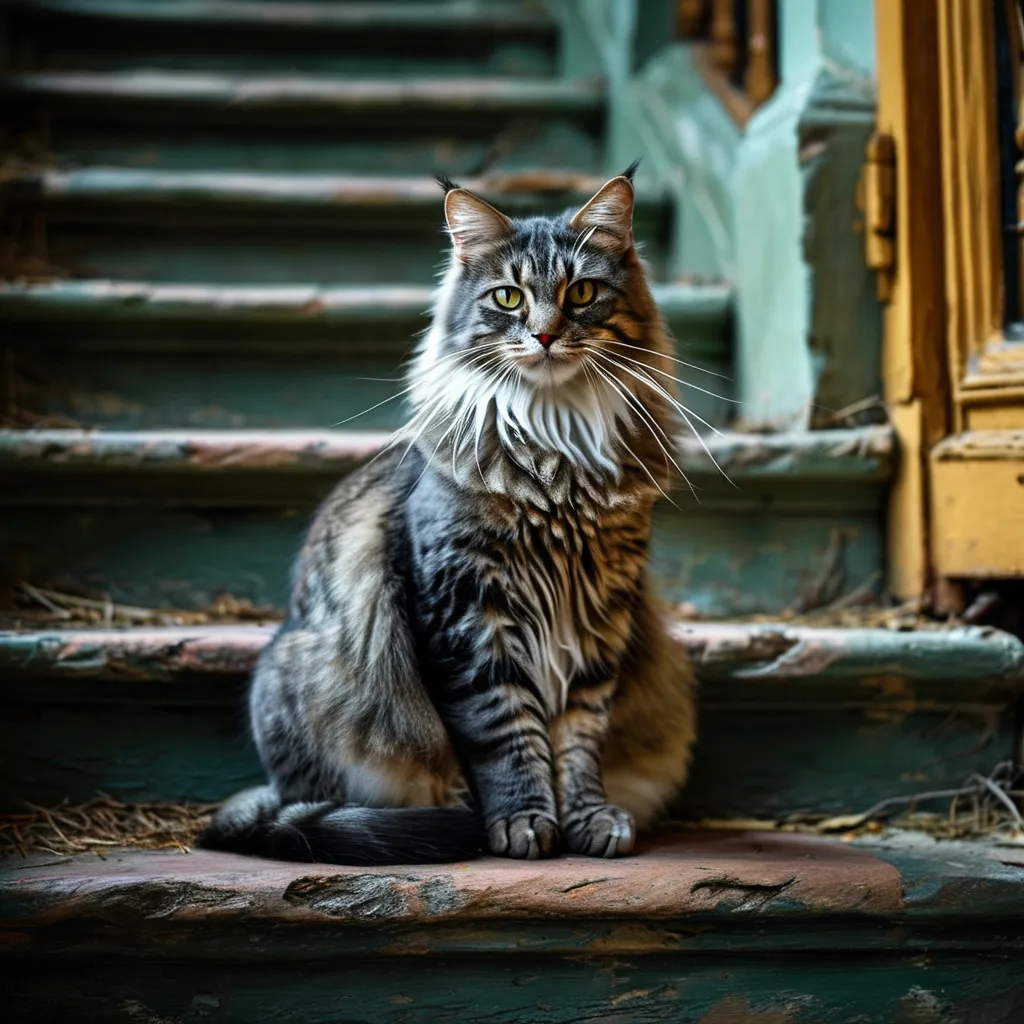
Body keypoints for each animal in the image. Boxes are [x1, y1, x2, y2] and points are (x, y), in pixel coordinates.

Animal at [199, 165, 696, 864]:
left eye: (582, 292)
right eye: (509, 298)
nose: (545, 335)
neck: (556, 450)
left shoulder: (600, 613)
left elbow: (579, 737)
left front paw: (588, 817)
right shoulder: (465, 612)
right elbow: (503, 734)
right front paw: (519, 822)